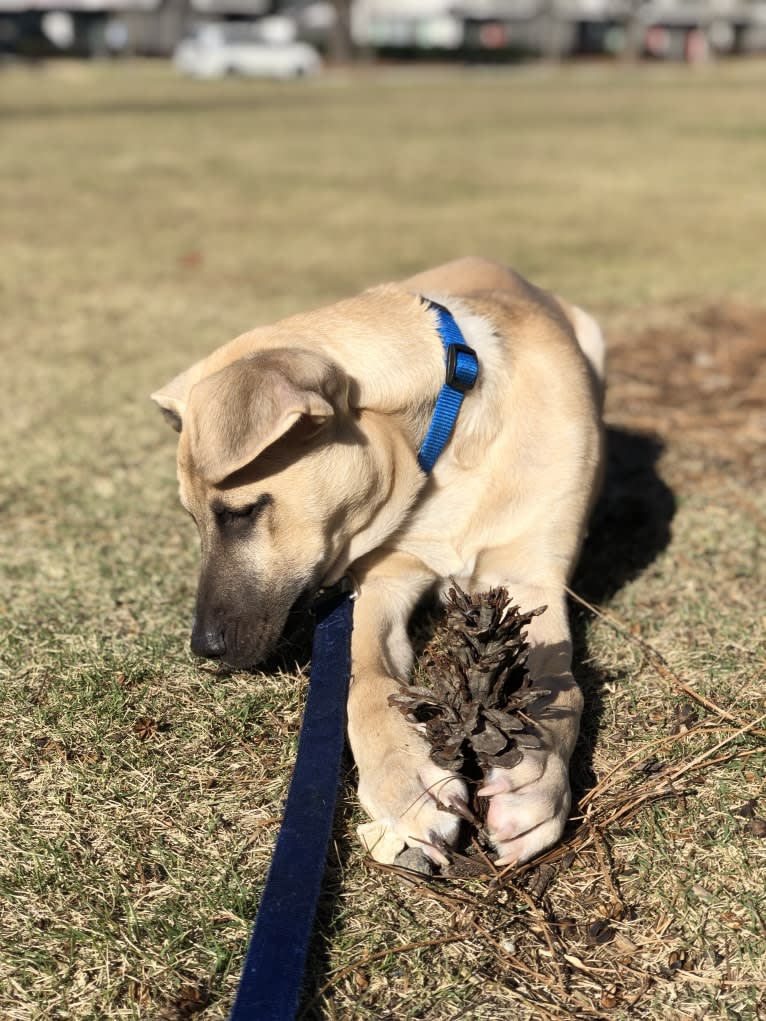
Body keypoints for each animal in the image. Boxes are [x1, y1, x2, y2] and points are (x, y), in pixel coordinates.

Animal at [151, 257, 604, 869]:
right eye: (193, 519)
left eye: (240, 512)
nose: (205, 649)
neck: (449, 428)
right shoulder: (381, 585)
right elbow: (363, 683)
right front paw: (407, 783)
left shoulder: (530, 581)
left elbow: (560, 682)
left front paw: (535, 780)